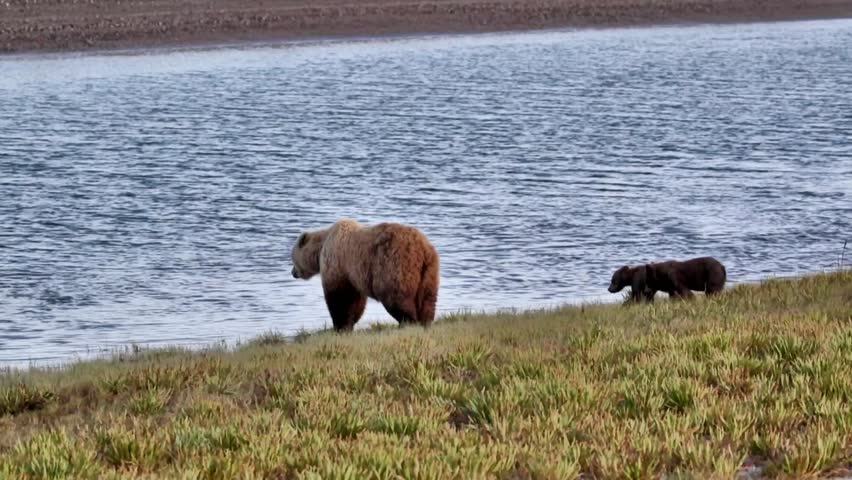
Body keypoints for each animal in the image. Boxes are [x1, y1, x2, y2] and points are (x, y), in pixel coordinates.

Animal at [291, 219, 440, 331]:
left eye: (292, 257)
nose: (292, 272)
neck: (321, 247)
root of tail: (423, 248)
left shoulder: (337, 264)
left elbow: (339, 298)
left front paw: (340, 326)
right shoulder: (353, 275)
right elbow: (355, 301)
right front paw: (349, 323)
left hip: (394, 265)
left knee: (397, 297)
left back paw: (408, 322)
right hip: (430, 270)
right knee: (428, 298)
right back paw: (426, 321)